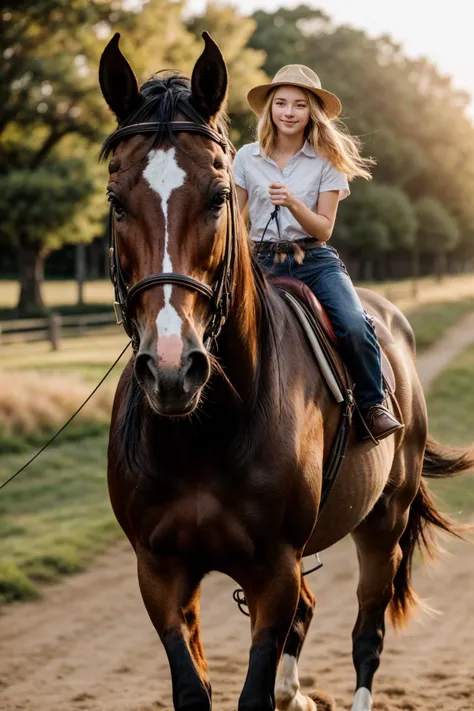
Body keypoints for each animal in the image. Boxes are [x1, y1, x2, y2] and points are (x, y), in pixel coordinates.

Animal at [100, 30, 474, 708]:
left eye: (219, 196)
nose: (172, 369)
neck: (206, 432)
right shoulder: (160, 572)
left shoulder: (273, 568)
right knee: (311, 610)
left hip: (383, 524)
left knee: (366, 633)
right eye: (117, 201)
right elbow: (195, 688)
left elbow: (258, 686)